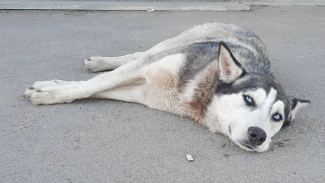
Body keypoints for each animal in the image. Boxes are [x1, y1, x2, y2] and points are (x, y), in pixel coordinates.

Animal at [24, 23, 308, 152]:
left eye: (277, 117)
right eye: (249, 100)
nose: (258, 135)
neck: (202, 89)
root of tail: (241, 24)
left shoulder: (143, 92)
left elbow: (96, 89)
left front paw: (51, 87)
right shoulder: (147, 66)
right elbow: (92, 85)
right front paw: (51, 92)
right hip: (167, 46)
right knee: (134, 56)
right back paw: (99, 62)